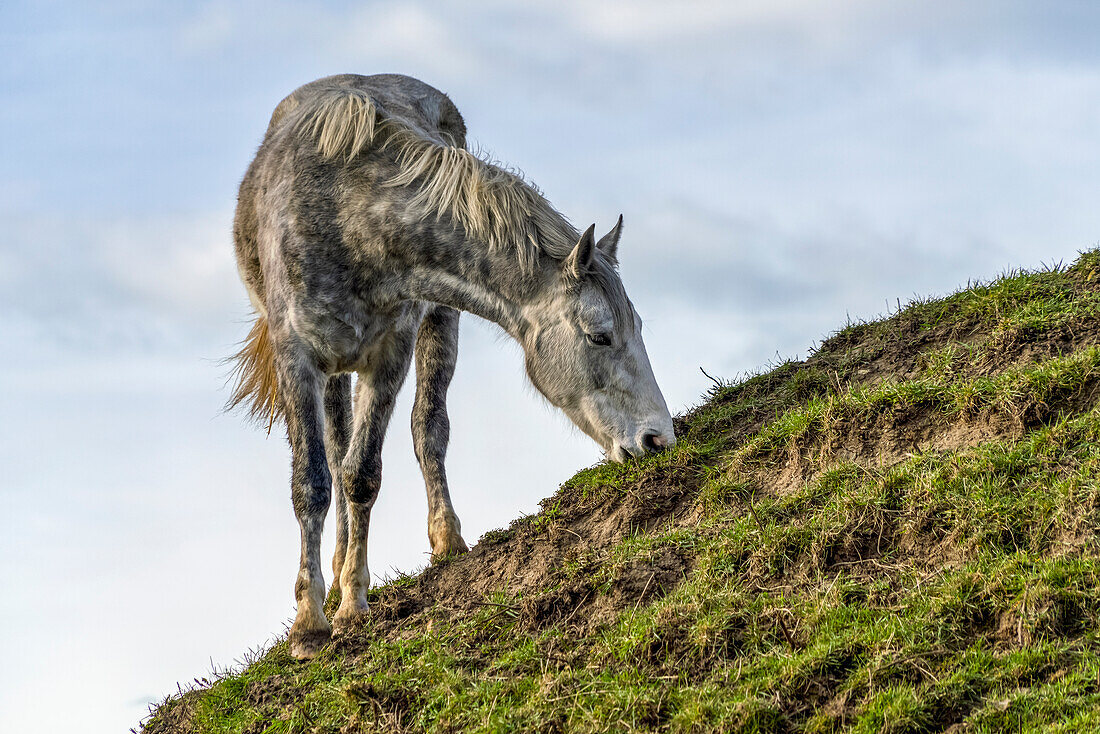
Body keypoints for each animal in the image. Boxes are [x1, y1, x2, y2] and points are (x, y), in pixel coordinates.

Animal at [227, 75, 673, 660]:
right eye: (599, 334)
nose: (658, 438)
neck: (350, 221)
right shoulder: (296, 358)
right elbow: (314, 483)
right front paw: (309, 623)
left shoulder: (390, 353)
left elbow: (362, 474)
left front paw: (351, 606)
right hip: (334, 370)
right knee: (336, 446)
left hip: (439, 322)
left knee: (424, 430)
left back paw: (442, 541)